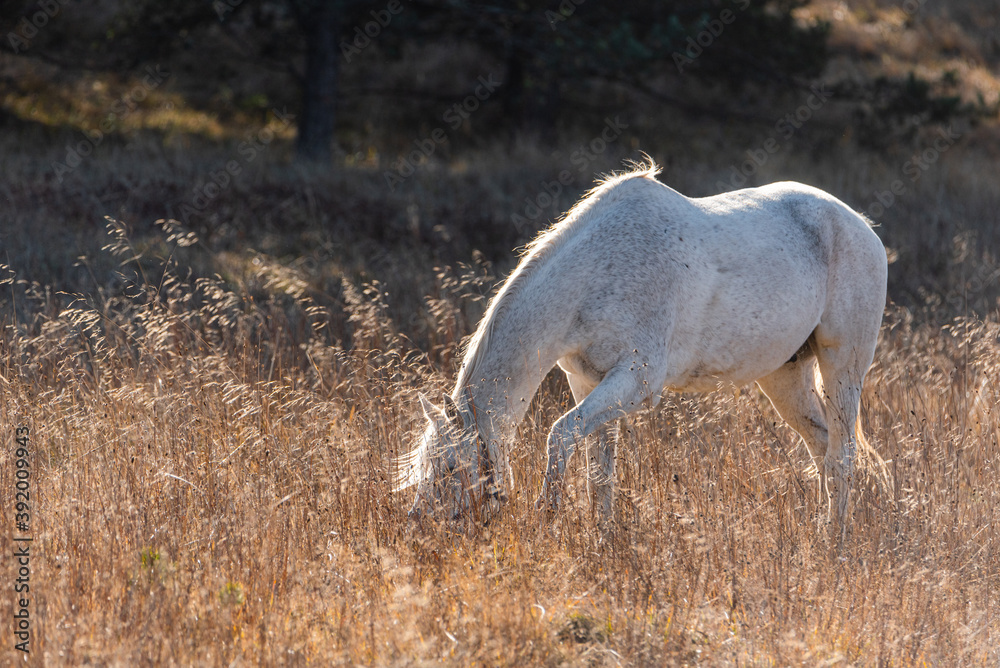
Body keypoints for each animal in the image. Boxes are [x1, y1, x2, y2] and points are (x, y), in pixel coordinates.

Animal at [395, 160, 888, 528]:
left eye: (449, 468)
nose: (417, 525)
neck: (595, 275)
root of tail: (861, 226)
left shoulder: (634, 383)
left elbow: (559, 436)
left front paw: (548, 519)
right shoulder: (588, 383)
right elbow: (599, 475)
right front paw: (601, 542)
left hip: (843, 367)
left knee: (842, 457)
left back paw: (836, 545)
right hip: (785, 375)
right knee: (822, 448)